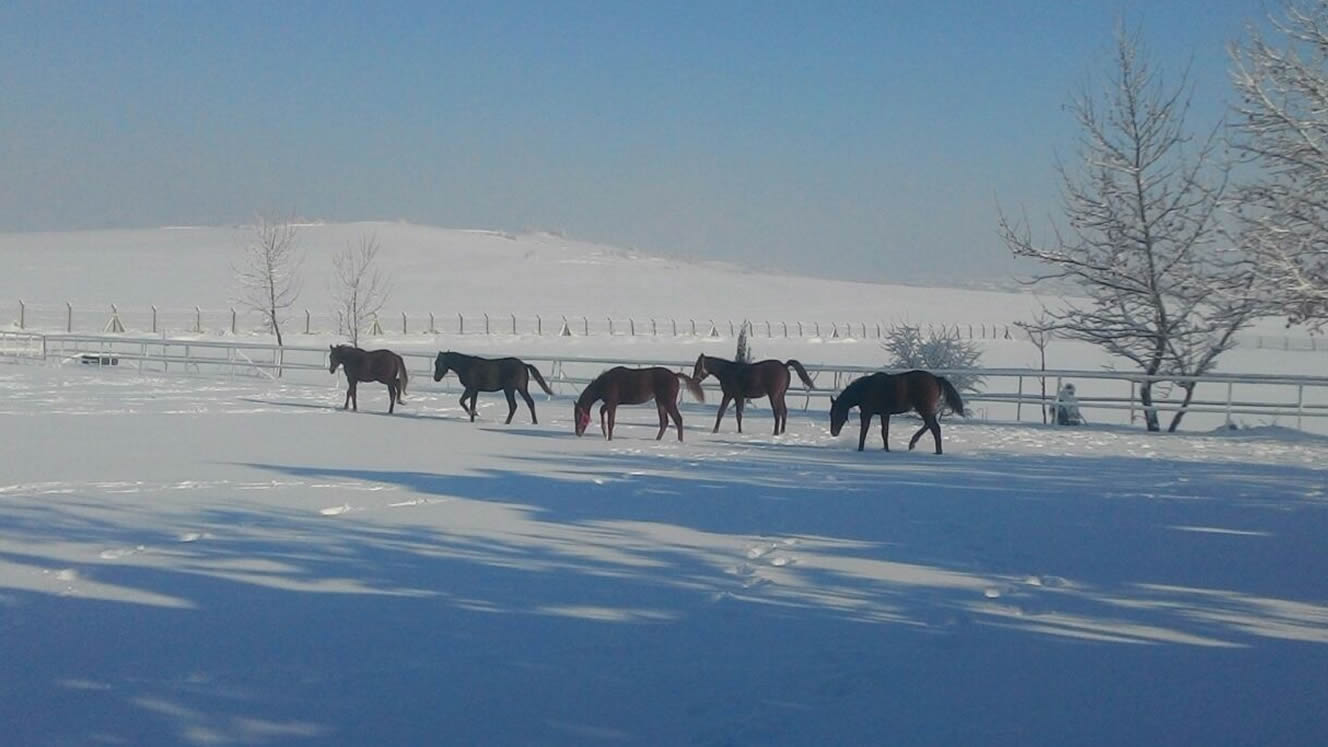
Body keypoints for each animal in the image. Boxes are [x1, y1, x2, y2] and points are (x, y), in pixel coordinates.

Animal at [571, 364, 706, 438]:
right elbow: (601, 411)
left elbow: (611, 422)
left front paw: (609, 438)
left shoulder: (612, 403)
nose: (578, 433)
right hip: (660, 401)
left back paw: (679, 442)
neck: (604, 383)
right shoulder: (610, 403)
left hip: (668, 401)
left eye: (579, 416)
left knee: (678, 420)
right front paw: (604, 434)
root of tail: (675, 375)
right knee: (664, 422)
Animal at [828, 366, 966, 451]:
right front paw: (886, 449)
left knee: (935, 428)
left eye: (837, 413)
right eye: (830, 414)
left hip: (924, 409)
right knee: (930, 425)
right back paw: (913, 443)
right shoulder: (884, 414)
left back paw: (936, 451)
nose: (833, 433)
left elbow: (864, 431)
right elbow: (884, 432)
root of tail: (936, 379)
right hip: (926, 409)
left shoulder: (867, 413)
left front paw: (860, 449)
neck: (864, 389)